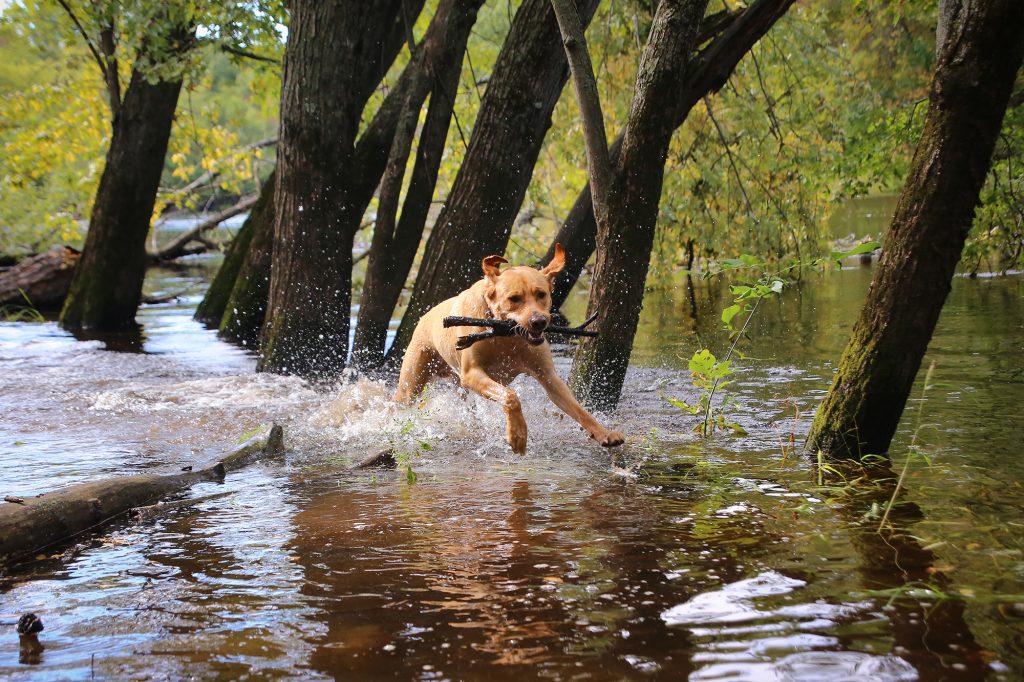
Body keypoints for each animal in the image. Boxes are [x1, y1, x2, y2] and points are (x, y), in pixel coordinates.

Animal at [393, 244, 622, 450]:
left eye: (541, 294)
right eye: (514, 298)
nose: (539, 322)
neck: (505, 335)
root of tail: (424, 317)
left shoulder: (548, 377)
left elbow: (577, 408)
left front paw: (604, 432)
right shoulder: (472, 373)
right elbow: (511, 396)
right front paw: (518, 435)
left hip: (459, 387)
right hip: (412, 382)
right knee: (400, 403)